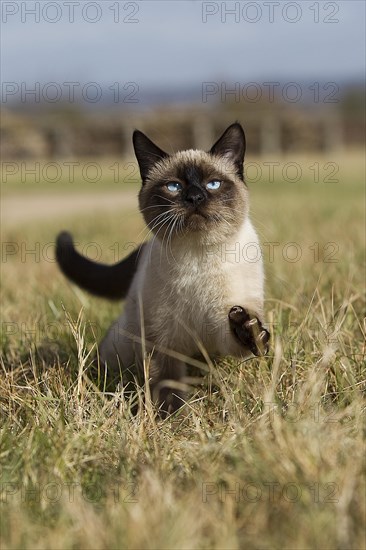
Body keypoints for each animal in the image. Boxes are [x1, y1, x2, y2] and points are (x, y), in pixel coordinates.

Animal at [56, 124, 268, 414]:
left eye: (213, 184)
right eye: (174, 186)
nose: (195, 197)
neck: (197, 257)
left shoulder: (222, 322)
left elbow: (239, 334)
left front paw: (249, 328)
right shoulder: (162, 339)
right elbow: (167, 383)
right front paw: (170, 417)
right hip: (123, 345)